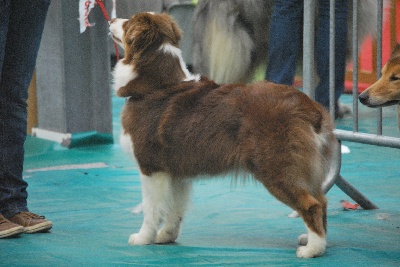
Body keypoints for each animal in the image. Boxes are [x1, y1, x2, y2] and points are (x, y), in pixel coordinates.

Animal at [108, 13, 338, 260]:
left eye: (128, 23)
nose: (111, 20)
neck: (155, 85)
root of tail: (309, 108)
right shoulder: (176, 171)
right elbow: (175, 207)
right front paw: (166, 236)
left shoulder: (151, 166)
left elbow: (151, 208)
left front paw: (143, 238)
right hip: (305, 169)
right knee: (322, 200)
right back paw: (316, 240)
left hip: (276, 167)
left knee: (312, 205)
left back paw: (312, 250)